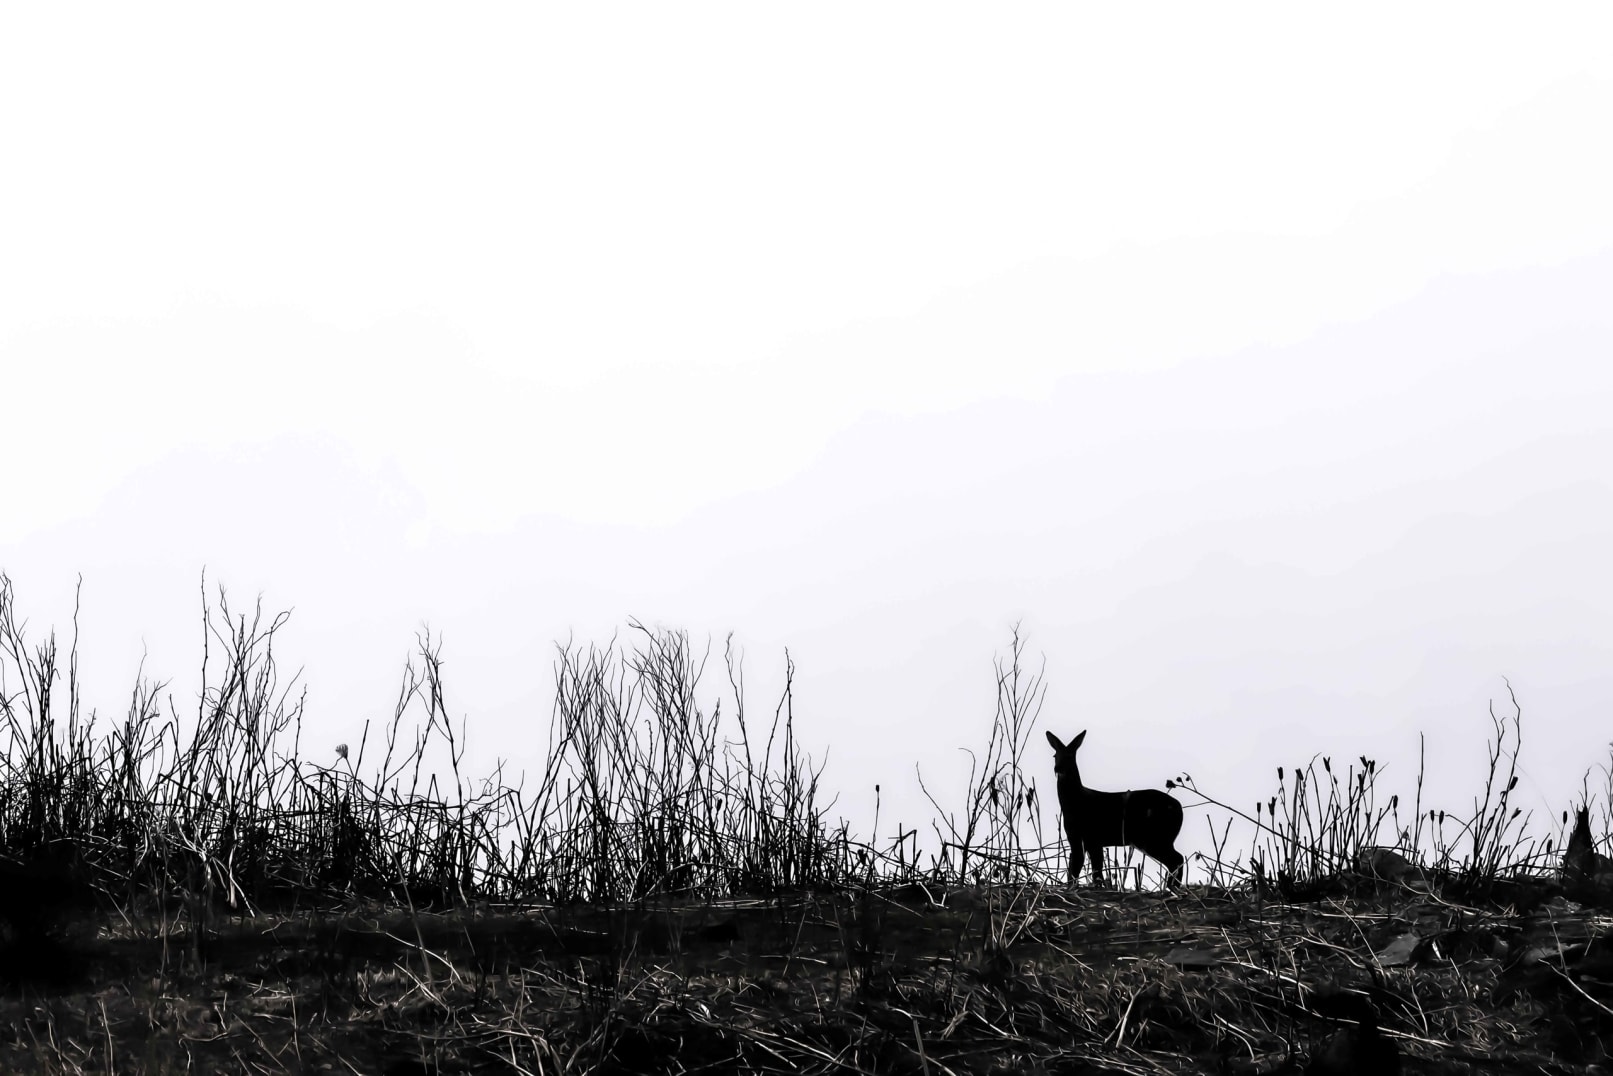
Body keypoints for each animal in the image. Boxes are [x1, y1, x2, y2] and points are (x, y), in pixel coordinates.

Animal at [1045, 729, 1184, 888]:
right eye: (1055, 755)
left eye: (1070, 755)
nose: (1058, 768)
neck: (1075, 803)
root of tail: (1179, 808)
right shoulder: (1077, 838)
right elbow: (1076, 869)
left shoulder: (1092, 836)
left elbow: (1093, 870)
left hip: (1154, 836)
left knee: (1177, 858)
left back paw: (1172, 887)